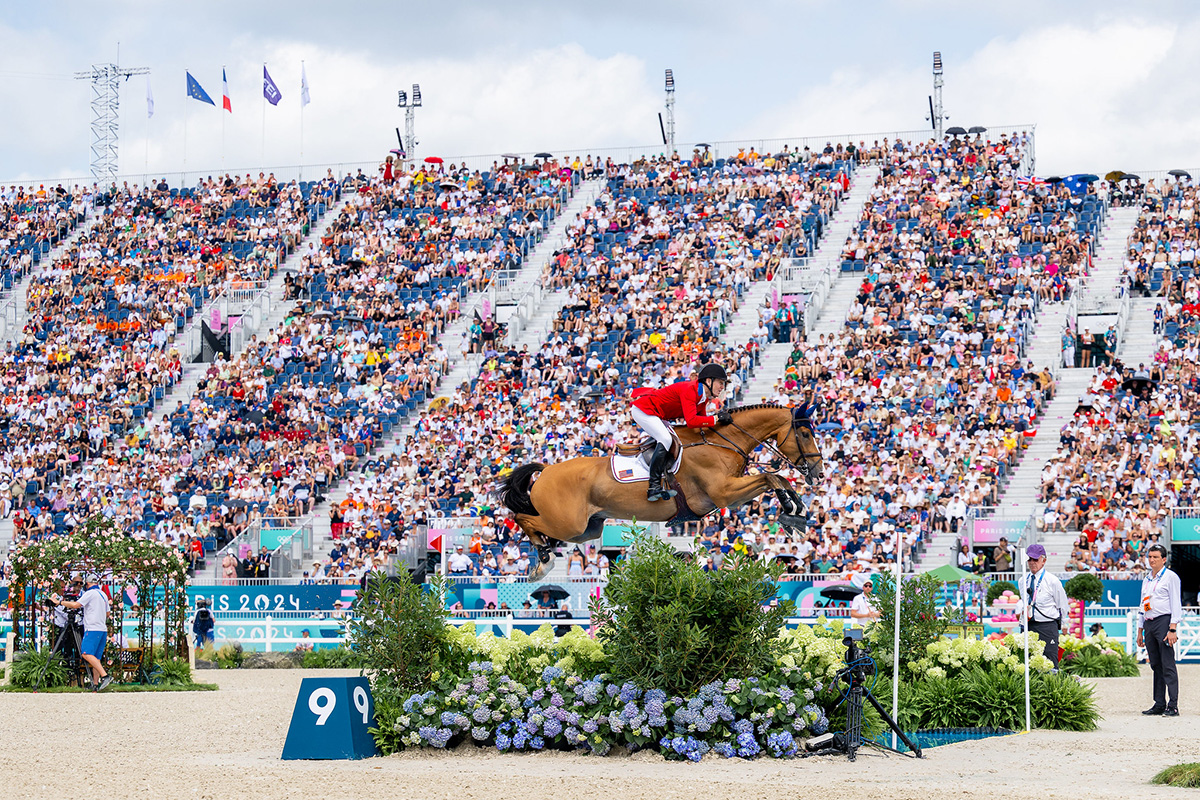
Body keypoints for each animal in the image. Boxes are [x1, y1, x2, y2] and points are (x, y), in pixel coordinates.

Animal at [492, 402, 820, 578]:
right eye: (804, 433)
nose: (818, 471)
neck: (722, 441)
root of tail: (546, 471)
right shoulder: (724, 493)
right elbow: (772, 478)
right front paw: (793, 512)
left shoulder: (731, 497)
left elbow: (775, 479)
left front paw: (796, 513)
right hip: (567, 524)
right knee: (524, 519)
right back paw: (543, 560)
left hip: (587, 529)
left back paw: (542, 558)